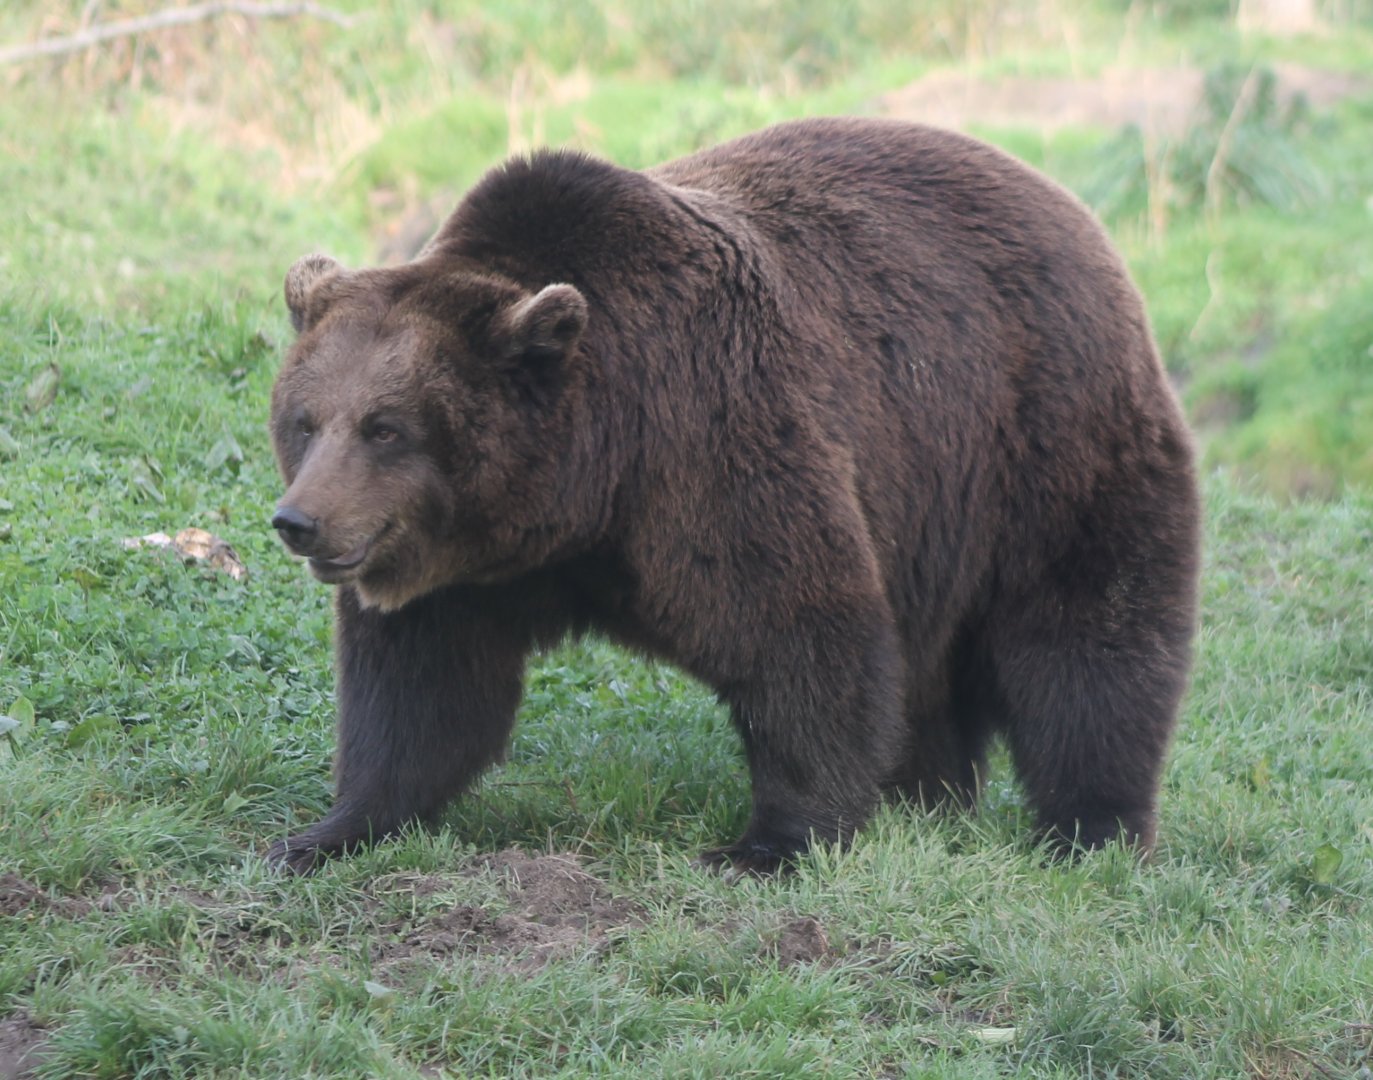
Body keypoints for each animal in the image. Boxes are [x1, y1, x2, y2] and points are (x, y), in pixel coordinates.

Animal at [266, 116, 1200, 875]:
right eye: (305, 420)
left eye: (387, 427)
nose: (299, 521)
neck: (579, 490)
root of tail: (1067, 205)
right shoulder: (465, 574)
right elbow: (421, 691)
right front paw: (324, 832)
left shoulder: (712, 446)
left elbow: (801, 639)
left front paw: (767, 844)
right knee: (932, 671)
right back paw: (924, 802)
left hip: (1041, 439)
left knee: (1086, 640)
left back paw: (1091, 831)